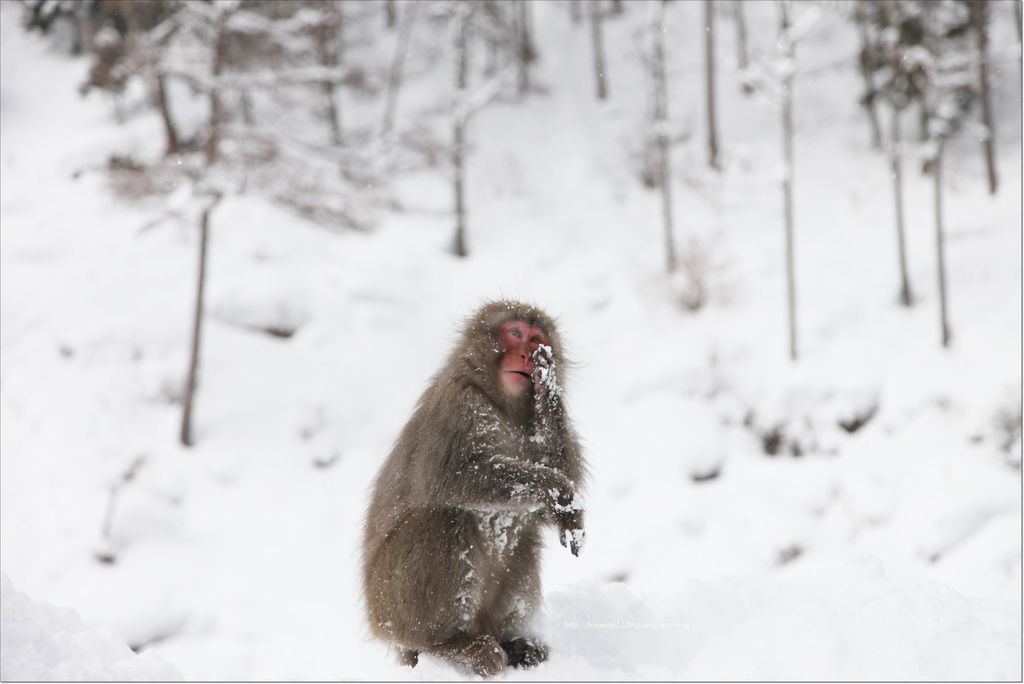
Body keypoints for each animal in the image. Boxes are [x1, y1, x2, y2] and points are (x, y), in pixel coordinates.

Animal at [362, 301, 585, 679]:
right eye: (514, 333)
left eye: (536, 339)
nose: (526, 355)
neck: (505, 407)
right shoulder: (459, 407)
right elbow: (455, 477)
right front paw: (557, 489)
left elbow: (552, 497)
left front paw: (548, 394)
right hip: (390, 602)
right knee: (442, 520)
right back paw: (448, 645)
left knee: (525, 537)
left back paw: (515, 646)